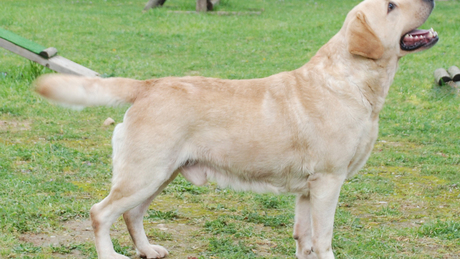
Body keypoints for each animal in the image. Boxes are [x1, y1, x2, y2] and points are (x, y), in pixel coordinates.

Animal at [34, 0, 436, 258]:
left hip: (160, 174)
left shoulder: (307, 190)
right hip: (143, 174)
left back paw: (147, 250)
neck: (352, 81)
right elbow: (322, 241)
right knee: (100, 213)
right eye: (391, 6)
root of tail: (148, 84)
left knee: (132, 214)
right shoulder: (327, 182)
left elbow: (303, 240)